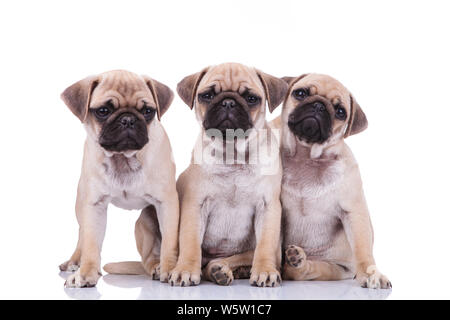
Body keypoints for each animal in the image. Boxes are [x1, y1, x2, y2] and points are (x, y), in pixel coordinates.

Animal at [59, 69, 179, 288]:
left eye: (148, 111)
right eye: (103, 111)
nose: (128, 119)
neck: (123, 158)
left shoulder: (166, 203)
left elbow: (169, 241)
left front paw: (169, 268)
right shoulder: (94, 205)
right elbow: (91, 243)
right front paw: (86, 273)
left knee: (149, 258)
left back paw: (158, 268)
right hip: (81, 205)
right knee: (83, 235)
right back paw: (75, 261)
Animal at [169, 62, 288, 288]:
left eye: (251, 98)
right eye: (207, 95)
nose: (228, 102)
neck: (232, 155)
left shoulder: (268, 207)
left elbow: (265, 245)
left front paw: (265, 271)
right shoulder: (195, 205)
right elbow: (190, 242)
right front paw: (185, 270)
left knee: (232, 259)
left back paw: (223, 270)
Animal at [276, 74, 392, 288]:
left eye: (340, 112)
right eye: (300, 93)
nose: (319, 105)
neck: (307, 157)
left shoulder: (354, 211)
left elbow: (363, 249)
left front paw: (371, 273)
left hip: (335, 269)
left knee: (306, 272)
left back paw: (297, 261)